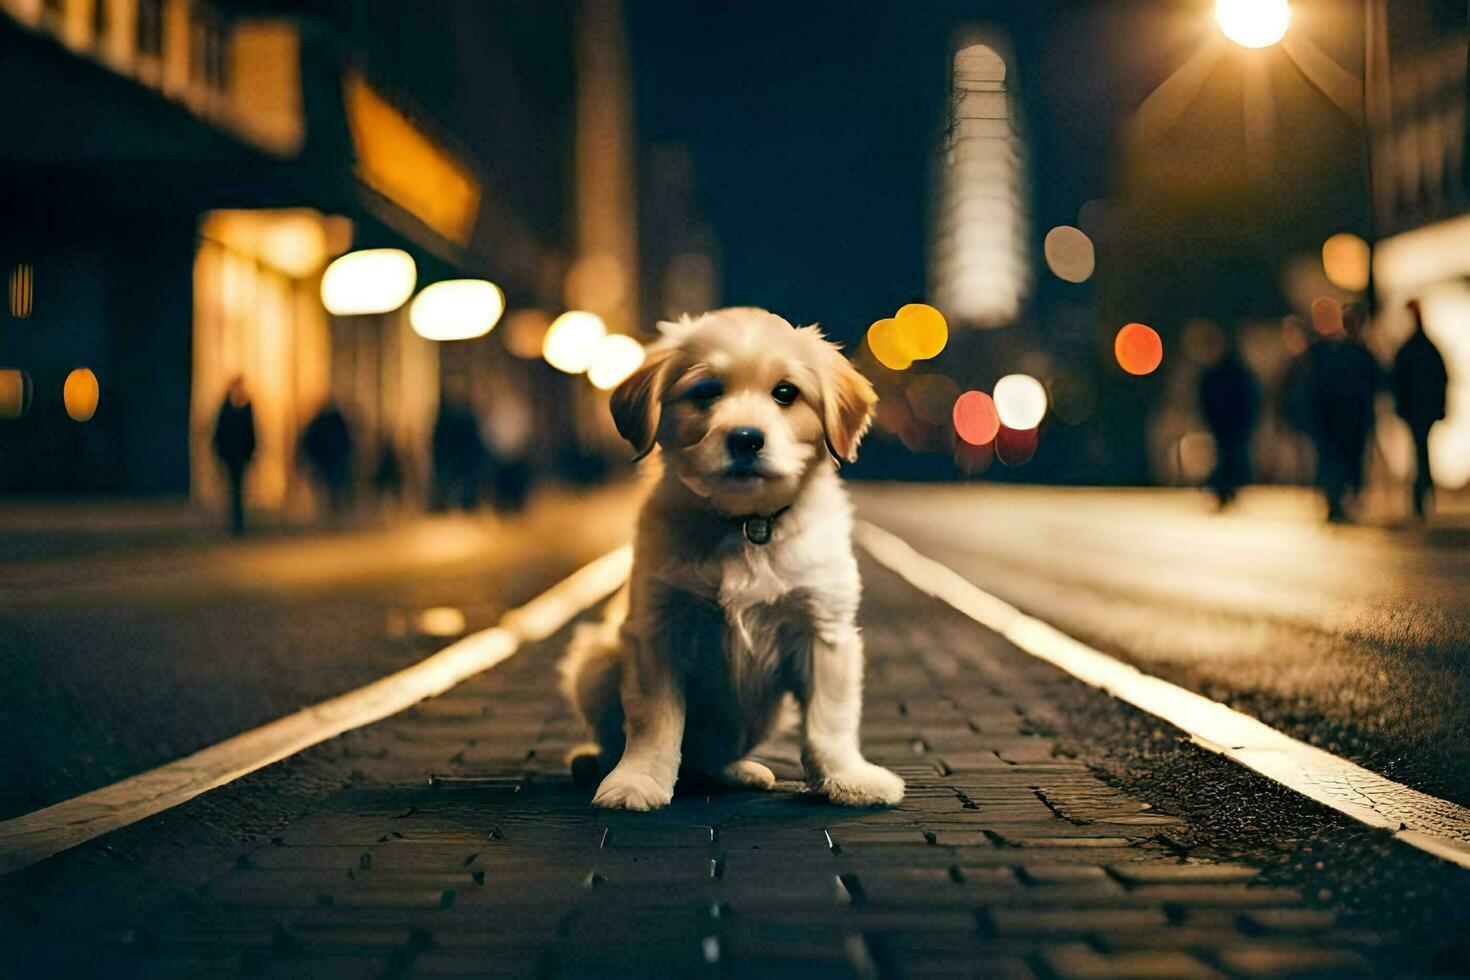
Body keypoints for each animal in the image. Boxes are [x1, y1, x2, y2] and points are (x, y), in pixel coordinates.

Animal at [561, 307, 905, 811]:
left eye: (786, 393)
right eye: (706, 391)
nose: (746, 439)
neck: (747, 525)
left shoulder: (826, 631)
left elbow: (830, 719)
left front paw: (848, 777)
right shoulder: (655, 630)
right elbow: (652, 719)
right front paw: (637, 779)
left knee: (709, 760)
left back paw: (739, 770)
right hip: (595, 661)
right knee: (628, 739)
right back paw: (592, 761)